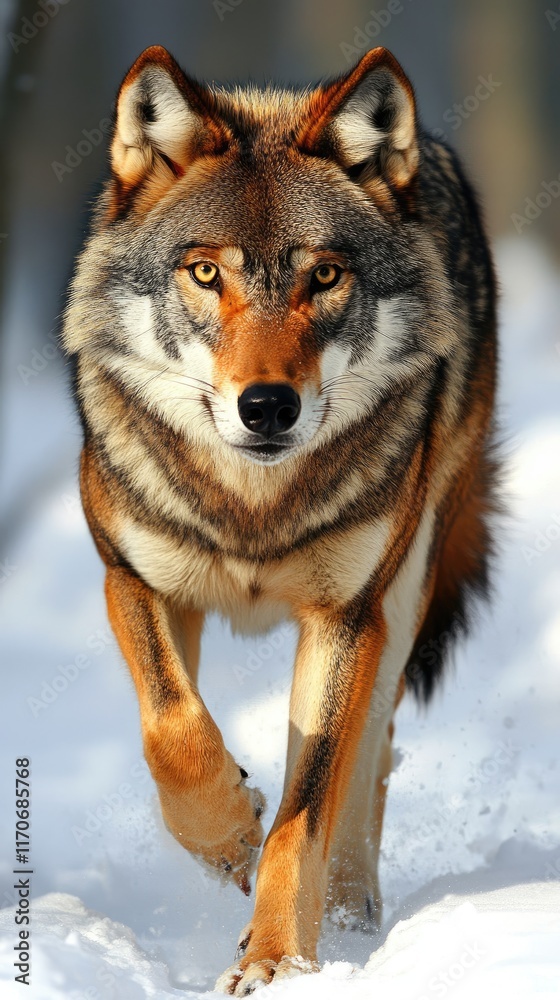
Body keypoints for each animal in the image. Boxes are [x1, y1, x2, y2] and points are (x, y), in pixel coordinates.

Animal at [62, 45, 498, 995]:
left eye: (324, 275)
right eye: (205, 272)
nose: (267, 407)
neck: (253, 512)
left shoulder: (346, 617)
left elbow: (308, 805)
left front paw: (278, 960)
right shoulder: (132, 577)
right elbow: (174, 731)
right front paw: (229, 833)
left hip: (401, 596)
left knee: (368, 757)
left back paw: (349, 915)